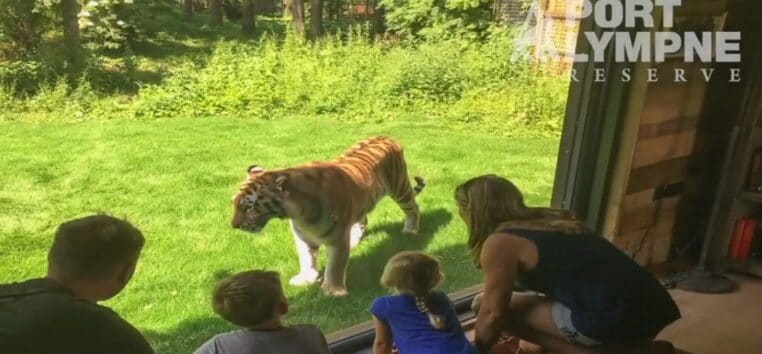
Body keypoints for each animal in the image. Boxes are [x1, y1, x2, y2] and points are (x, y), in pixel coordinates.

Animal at [229, 136, 424, 296]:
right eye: (234, 203)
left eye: (250, 208)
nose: (234, 226)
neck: (298, 213)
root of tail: (387, 137)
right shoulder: (303, 236)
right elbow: (306, 258)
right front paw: (306, 278)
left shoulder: (337, 237)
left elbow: (335, 265)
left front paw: (333, 290)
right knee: (363, 219)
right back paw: (354, 241)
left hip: (400, 187)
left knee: (413, 207)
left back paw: (410, 230)